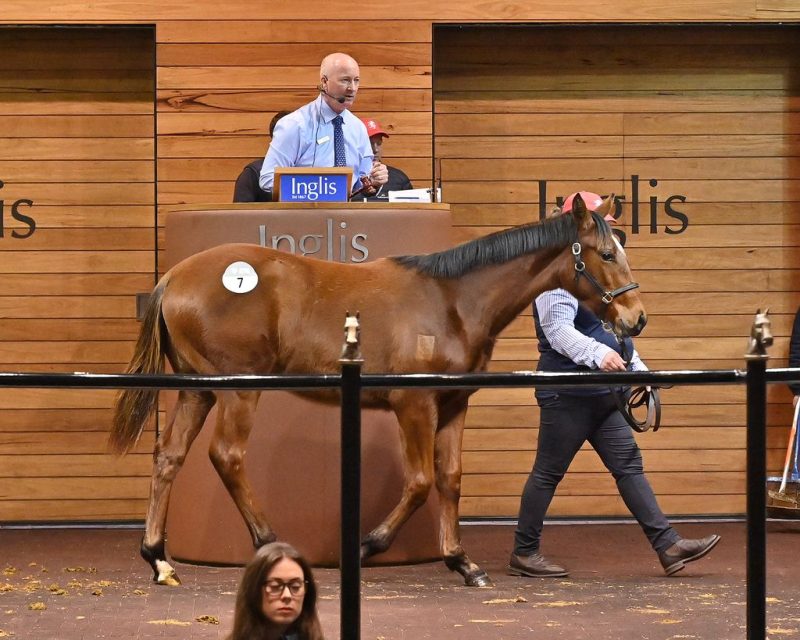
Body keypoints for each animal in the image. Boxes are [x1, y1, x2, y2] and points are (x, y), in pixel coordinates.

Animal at [109, 193, 646, 588]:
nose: (635, 319)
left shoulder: (453, 404)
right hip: (238, 390)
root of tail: (174, 277)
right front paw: (368, 545)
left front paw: (463, 563)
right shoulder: (414, 404)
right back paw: (266, 540)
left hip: (197, 391)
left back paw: (159, 560)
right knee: (226, 456)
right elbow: (420, 481)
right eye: (605, 254)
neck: (452, 301)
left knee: (169, 457)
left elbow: (450, 479)